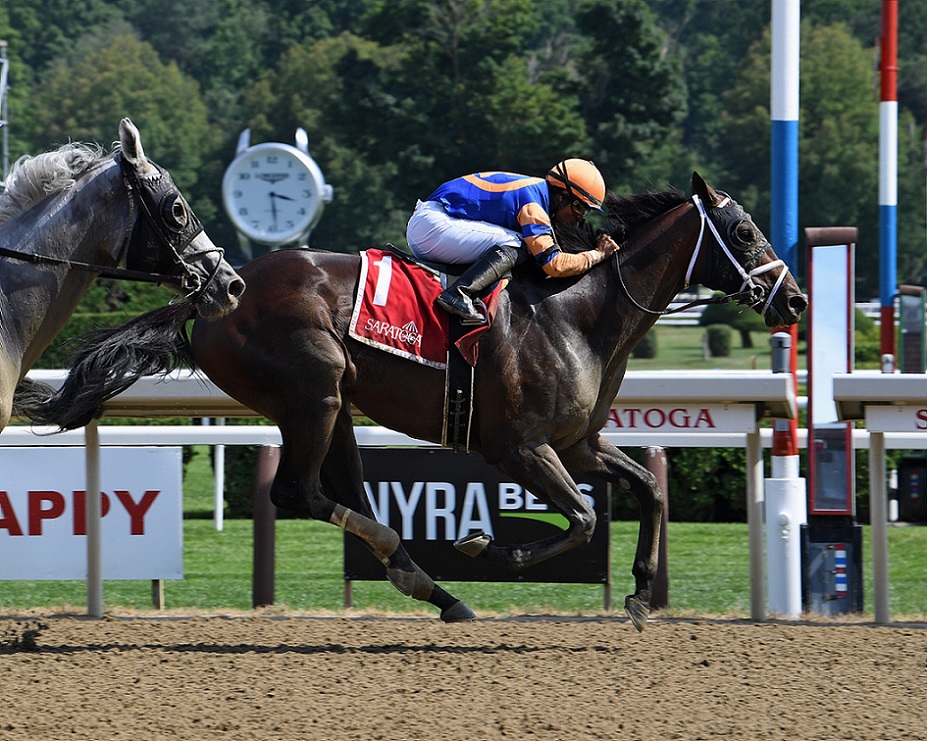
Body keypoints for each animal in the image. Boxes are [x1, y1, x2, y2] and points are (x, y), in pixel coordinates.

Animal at [31, 173, 806, 628]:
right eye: (743, 231)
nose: (794, 300)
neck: (579, 314)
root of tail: (215, 293)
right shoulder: (520, 447)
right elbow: (584, 518)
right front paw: (489, 546)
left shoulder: (578, 442)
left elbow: (649, 487)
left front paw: (642, 593)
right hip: (312, 394)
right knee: (295, 491)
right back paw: (422, 569)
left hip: (335, 405)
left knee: (334, 490)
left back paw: (431, 585)